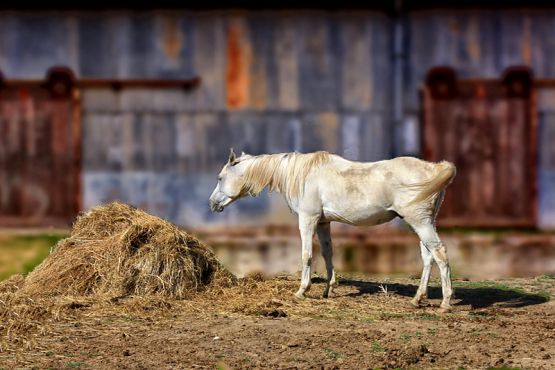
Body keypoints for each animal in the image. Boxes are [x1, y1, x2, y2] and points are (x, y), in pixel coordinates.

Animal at [208, 149, 456, 310]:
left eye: (220, 178)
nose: (211, 204)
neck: (302, 175)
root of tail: (434, 167)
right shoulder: (323, 223)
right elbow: (328, 253)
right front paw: (329, 290)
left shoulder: (307, 220)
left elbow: (307, 255)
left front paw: (302, 291)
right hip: (421, 222)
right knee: (428, 257)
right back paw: (418, 299)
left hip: (420, 222)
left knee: (440, 254)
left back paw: (445, 303)